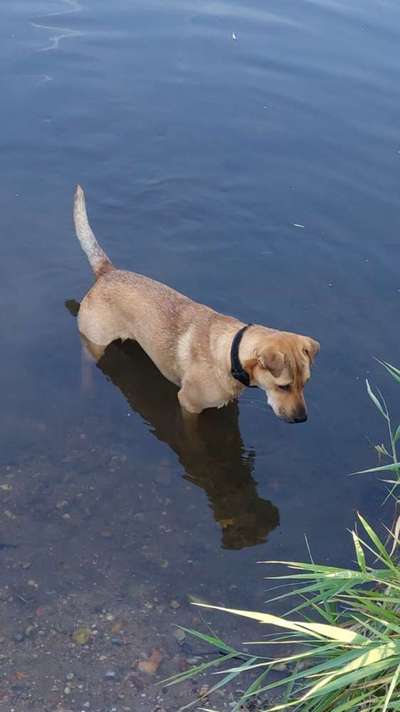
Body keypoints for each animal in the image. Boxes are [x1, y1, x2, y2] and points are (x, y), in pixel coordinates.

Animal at [73, 185, 320, 422]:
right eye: (283, 386)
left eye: (305, 383)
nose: (302, 418)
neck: (230, 354)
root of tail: (107, 271)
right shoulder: (188, 404)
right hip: (94, 341)